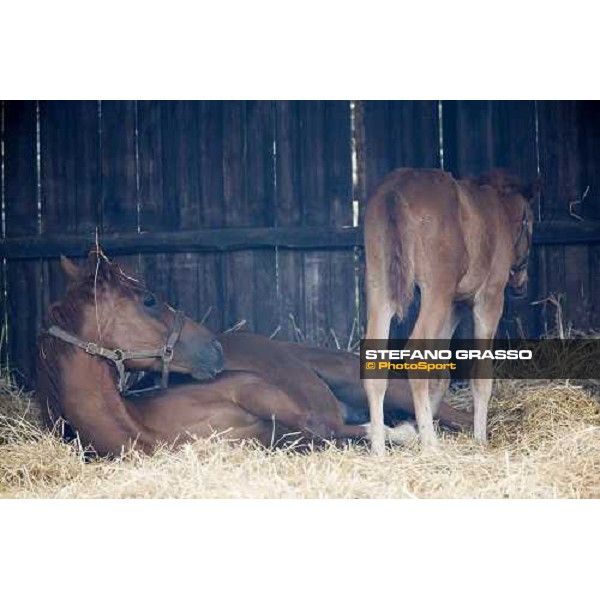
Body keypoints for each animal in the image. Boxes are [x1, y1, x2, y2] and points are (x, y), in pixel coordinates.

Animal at [38, 253, 468, 454]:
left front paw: (405, 435)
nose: (214, 347)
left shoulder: (255, 389)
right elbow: (326, 432)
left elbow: (330, 427)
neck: (142, 426)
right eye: (149, 300)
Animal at [360, 169, 536, 454]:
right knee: (415, 352)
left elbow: (440, 372)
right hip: (436, 292)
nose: (521, 281)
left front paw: (416, 430)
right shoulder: (489, 300)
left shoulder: (454, 308)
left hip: (380, 287)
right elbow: (480, 374)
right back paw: (430, 445)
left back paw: (378, 449)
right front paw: (479, 439)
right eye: (528, 222)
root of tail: (396, 189)